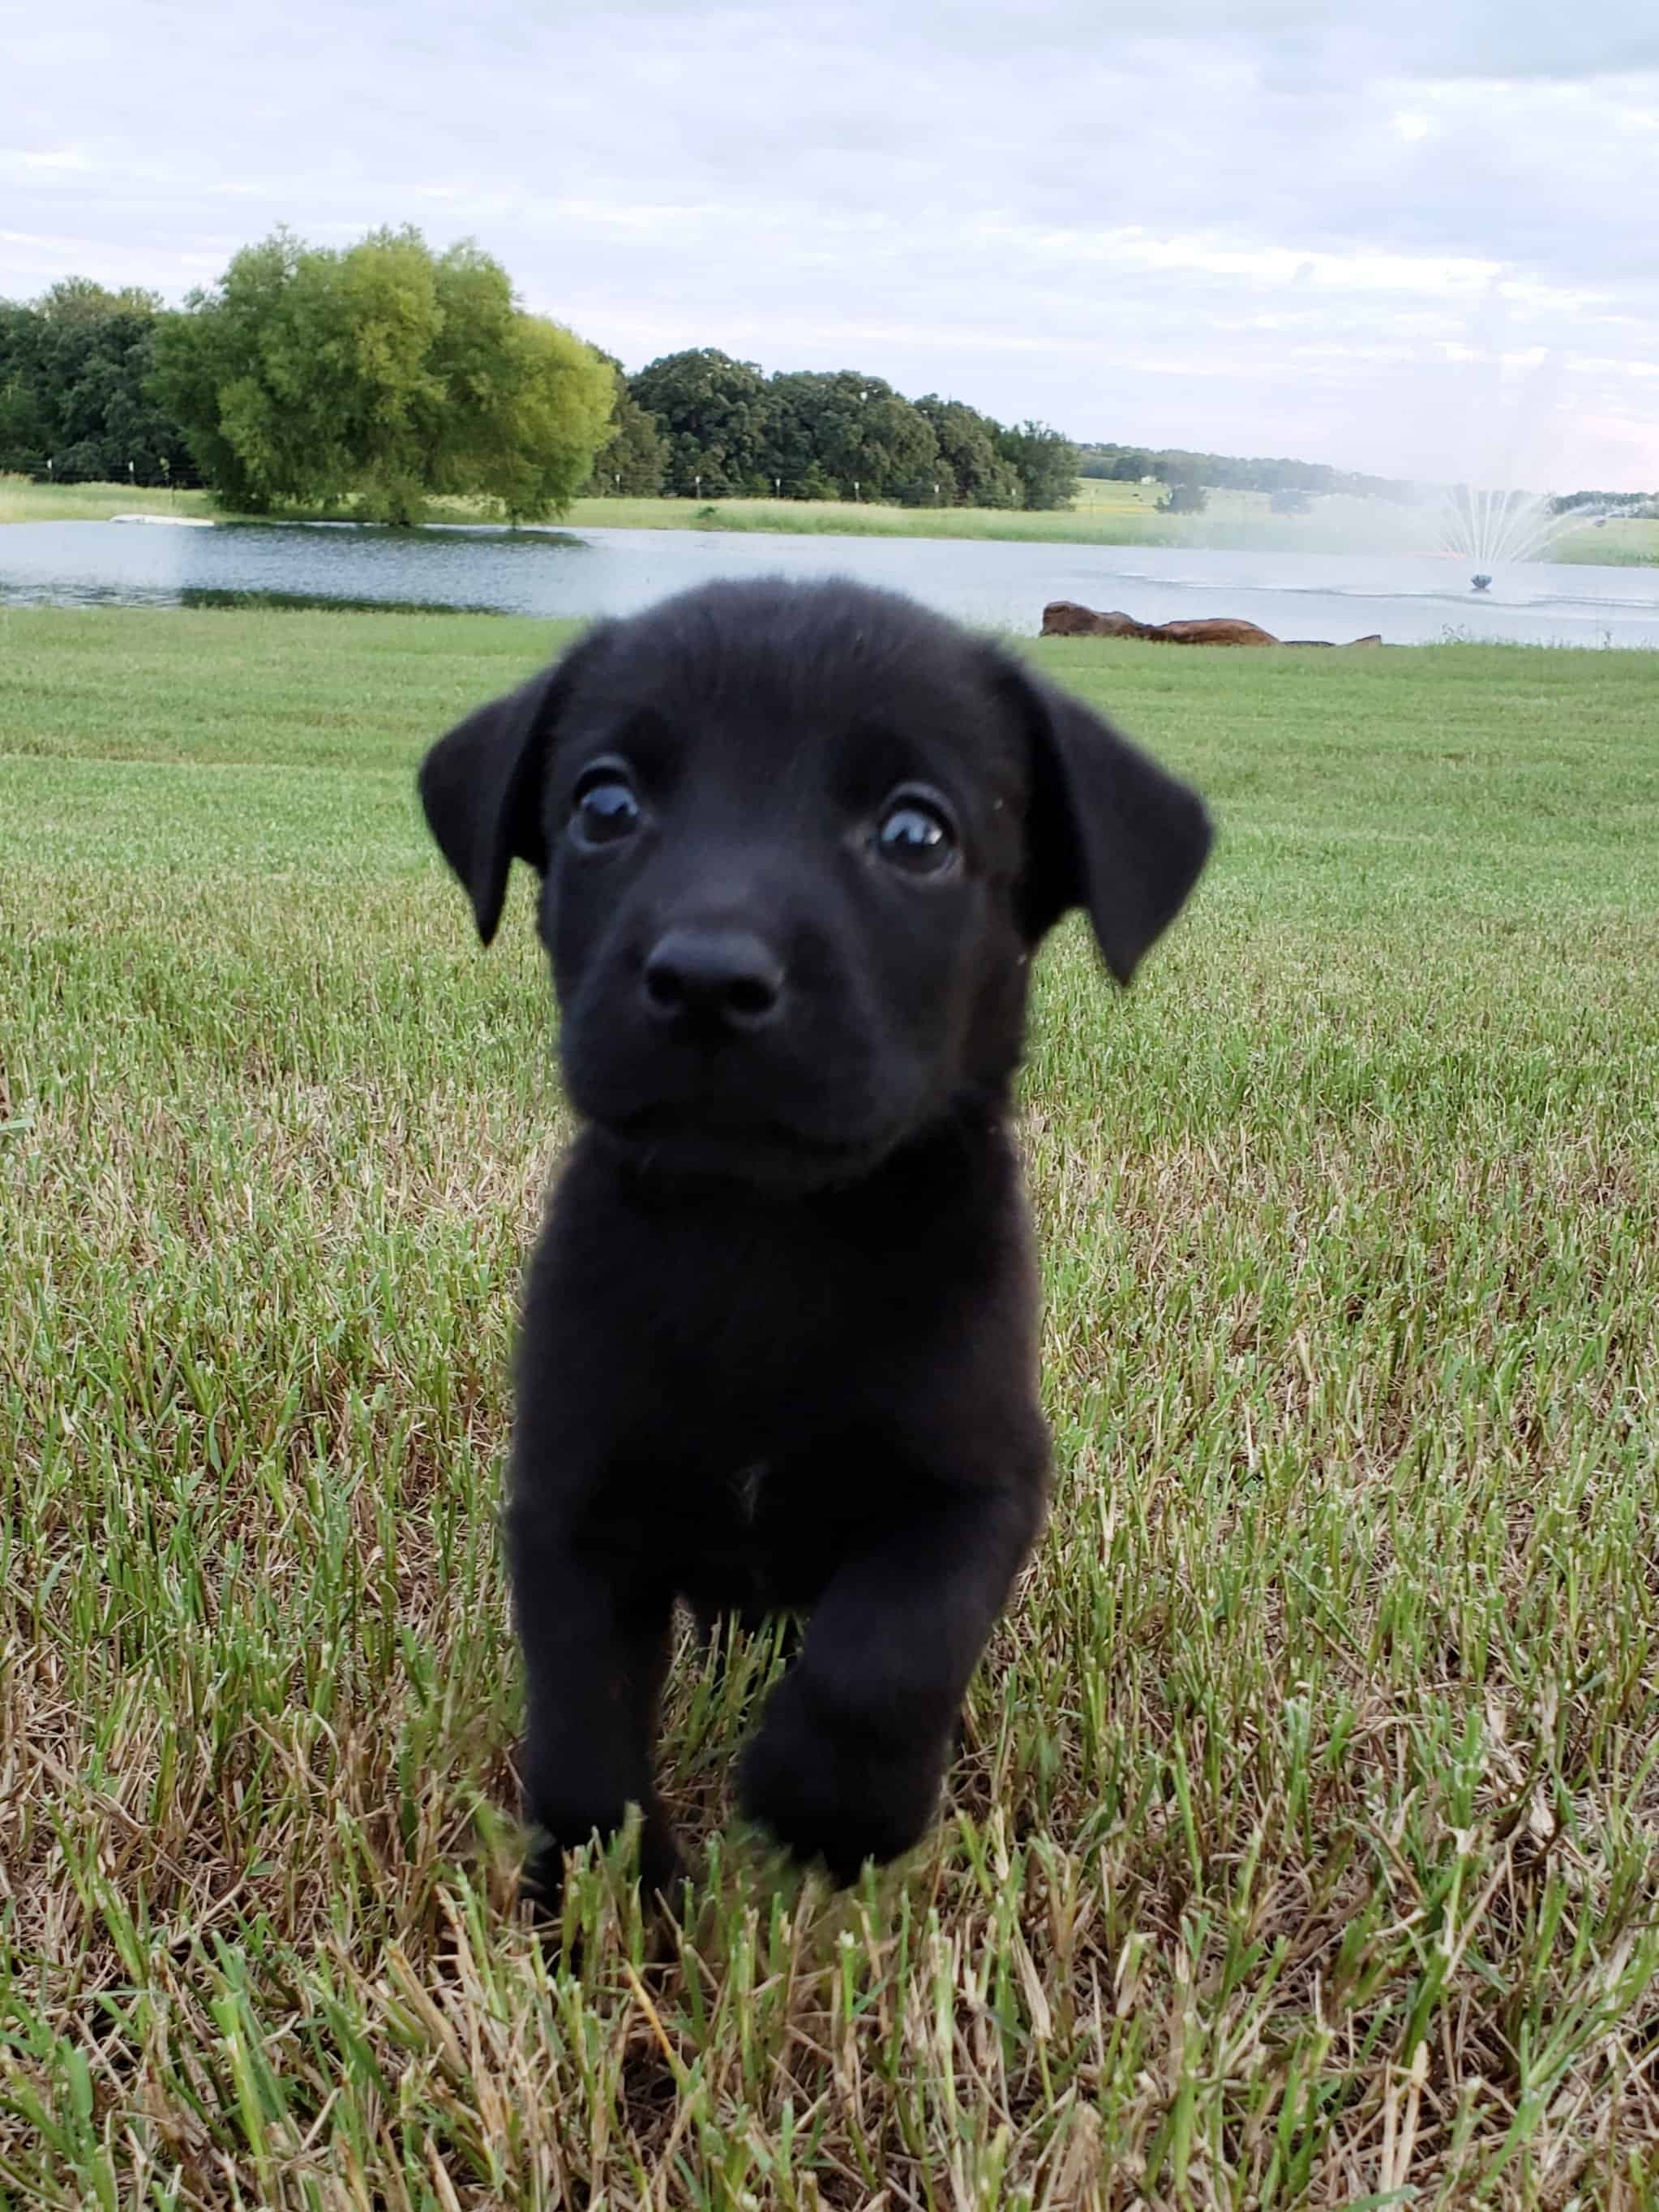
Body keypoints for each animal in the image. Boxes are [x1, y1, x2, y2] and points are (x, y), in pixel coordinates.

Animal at [418, 576, 1212, 1904]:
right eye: (603, 805)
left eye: (916, 835)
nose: (705, 979)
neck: (762, 1241)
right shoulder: (571, 1501)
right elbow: (579, 1711)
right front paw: (596, 1893)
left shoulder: (976, 1483)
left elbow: (886, 1650)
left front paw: (827, 1810)